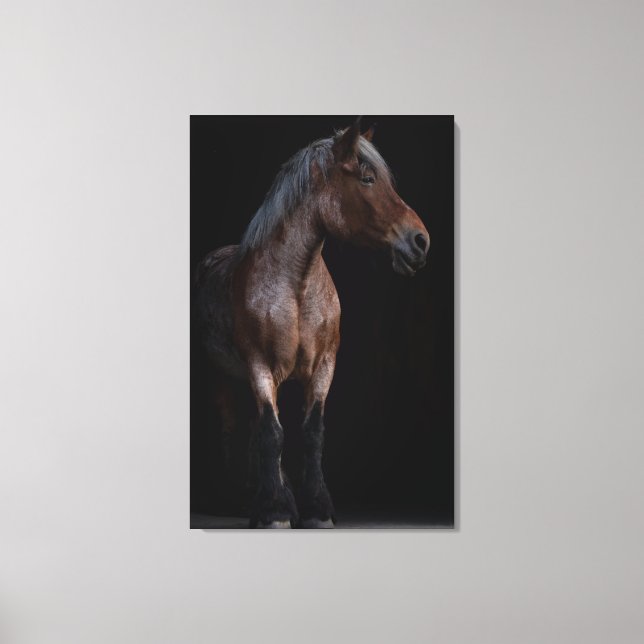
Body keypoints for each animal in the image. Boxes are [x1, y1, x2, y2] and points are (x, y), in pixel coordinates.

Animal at [194, 119, 430, 528]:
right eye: (368, 178)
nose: (420, 241)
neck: (297, 287)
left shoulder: (323, 367)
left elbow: (311, 433)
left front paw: (316, 509)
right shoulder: (260, 367)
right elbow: (273, 434)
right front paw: (275, 511)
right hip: (220, 374)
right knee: (234, 425)